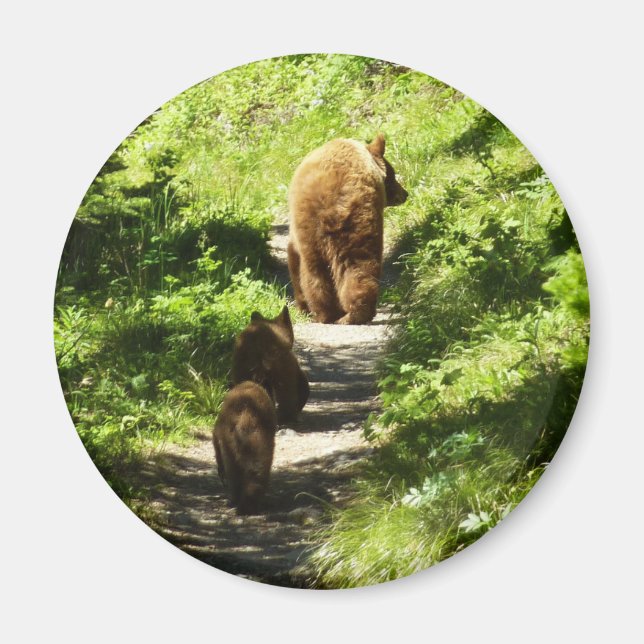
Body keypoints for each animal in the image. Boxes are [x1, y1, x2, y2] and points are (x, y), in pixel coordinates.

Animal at [213, 380, 277, 515]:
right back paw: (251, 504)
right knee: (259, 468)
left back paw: (235, 499)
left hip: (229, 440)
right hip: (262, 441)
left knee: (233, 470)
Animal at [287, 134, 408, 325]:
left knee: (317, 272)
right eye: (393, 174)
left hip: (316, 229)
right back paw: (353, 313)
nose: (405, 194)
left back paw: (327, 314)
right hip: (355, 223)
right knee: (358, 265)